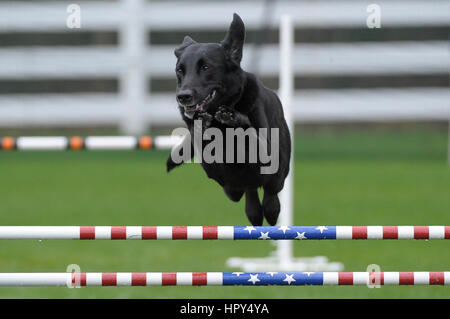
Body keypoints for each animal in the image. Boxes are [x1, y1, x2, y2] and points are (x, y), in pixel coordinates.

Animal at [167, 13, 290, 226]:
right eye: (180, 70)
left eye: (206, 67)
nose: (183, 96)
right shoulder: (215, 170)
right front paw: (205, 124)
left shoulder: (268, 153)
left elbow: (251, 135)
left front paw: (234, 118)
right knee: (249, 192)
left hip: (280, 168)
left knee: (270, 193)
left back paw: (271, 210)